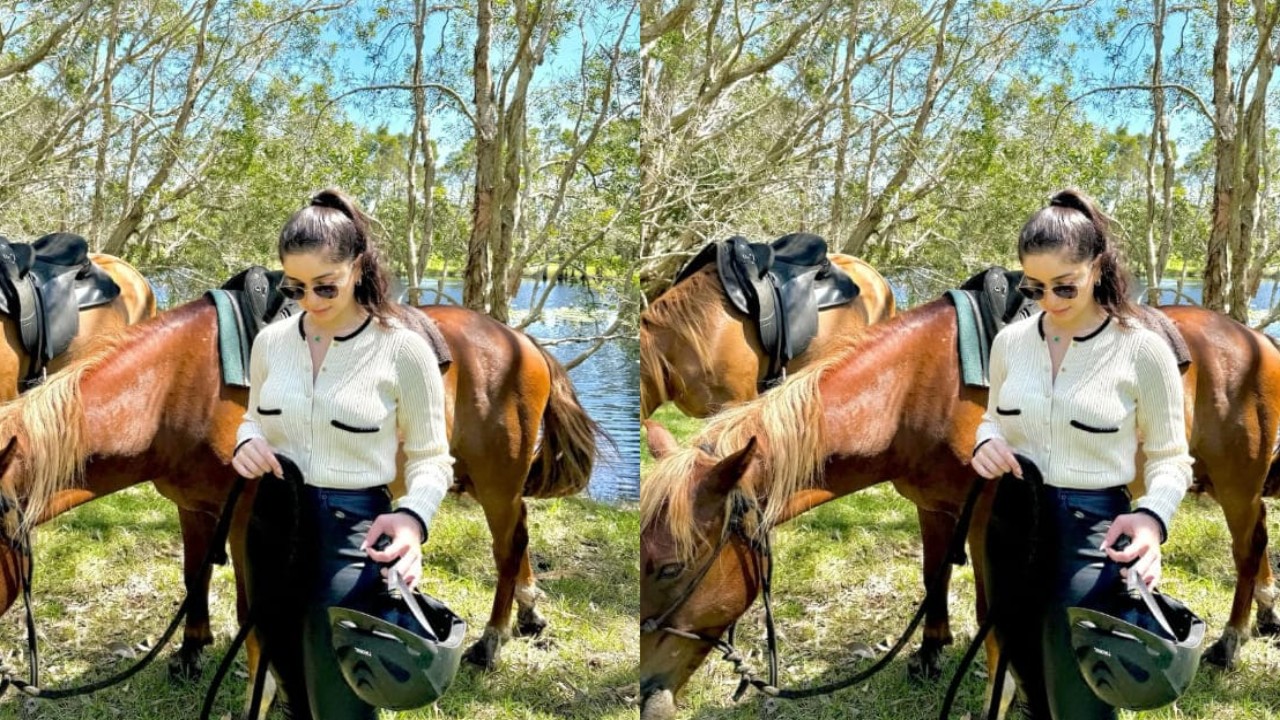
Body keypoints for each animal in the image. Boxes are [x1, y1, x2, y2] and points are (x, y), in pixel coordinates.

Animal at [0, 295, 593, 707]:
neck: (176, 388)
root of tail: (521, 340)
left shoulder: (247, 518)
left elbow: (251, 612)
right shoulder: (192, 506)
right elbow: (195, 576)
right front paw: (190, 652)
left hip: (497, 479)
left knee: (508, 547)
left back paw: (491, 642)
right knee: (522, 534)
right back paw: (530, 612)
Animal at [645, 299, 1280, 717]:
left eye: (670, 567)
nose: (649, 692)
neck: (918, 389)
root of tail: (1255, 340)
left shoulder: (986, 521)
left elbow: (990, 616)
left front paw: (1001, 696)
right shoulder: (935, 508)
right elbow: (933, 578)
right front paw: (930, 654)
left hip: (1238, 484)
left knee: (1248, 549)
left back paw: (1231, 640)